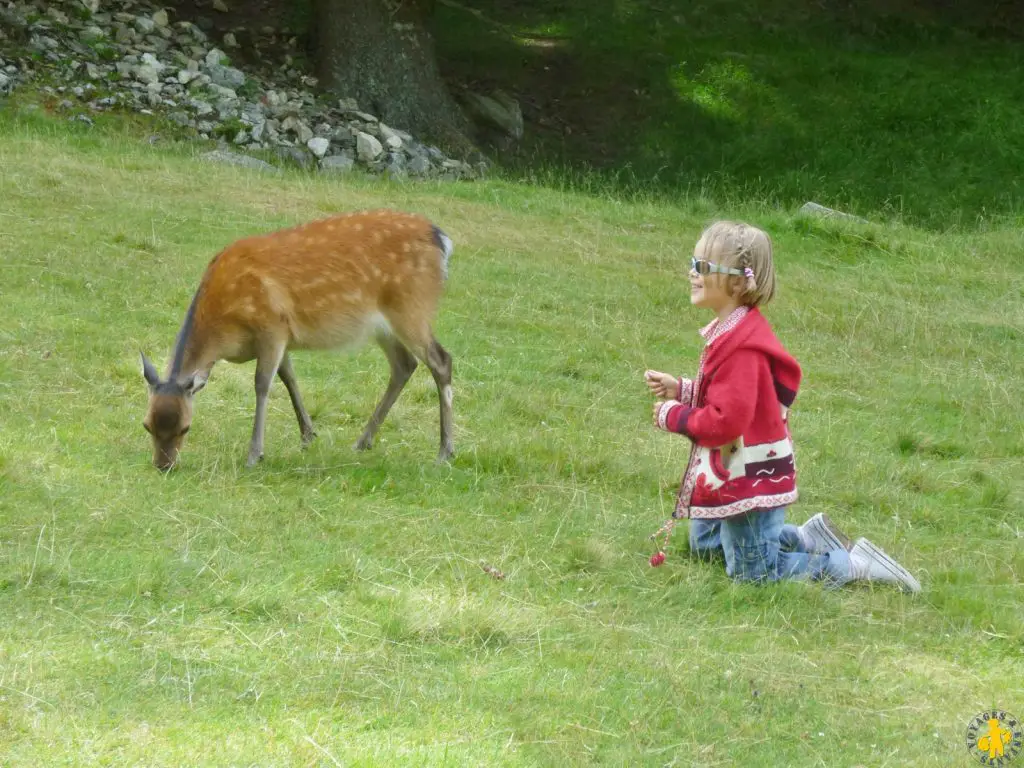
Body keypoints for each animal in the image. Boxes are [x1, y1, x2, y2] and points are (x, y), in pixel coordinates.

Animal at [140, 210, 456, 475]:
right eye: (147, 425)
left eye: (185, 428)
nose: (163, 466)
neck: (225, 326)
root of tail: (442, 240)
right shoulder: (281, 336)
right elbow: (288, 376)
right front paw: (308, 435)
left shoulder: (272, 326)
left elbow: (263, 384)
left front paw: (255, 454)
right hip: (383, 325)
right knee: (405, 365)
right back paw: (362, 441)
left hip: (411, 307)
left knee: (441, 360)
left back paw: (445, 451)